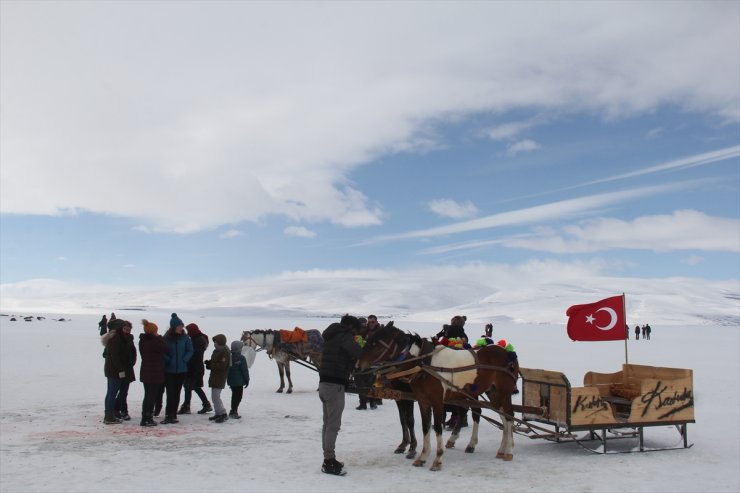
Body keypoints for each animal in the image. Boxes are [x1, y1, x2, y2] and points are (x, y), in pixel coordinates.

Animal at [356, 320, 516, 470]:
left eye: (377, 344)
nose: (358, 366)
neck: (424, 364)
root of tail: (505, 352)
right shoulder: (422, 401)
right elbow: (424, 426)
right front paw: (422, 456)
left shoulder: (437, 401)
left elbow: (437, 427)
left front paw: (437, 459)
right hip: (491, 392)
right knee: (500, 416)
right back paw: (500, 448)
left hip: (503, 392)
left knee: (508, 416)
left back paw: (508, 451)